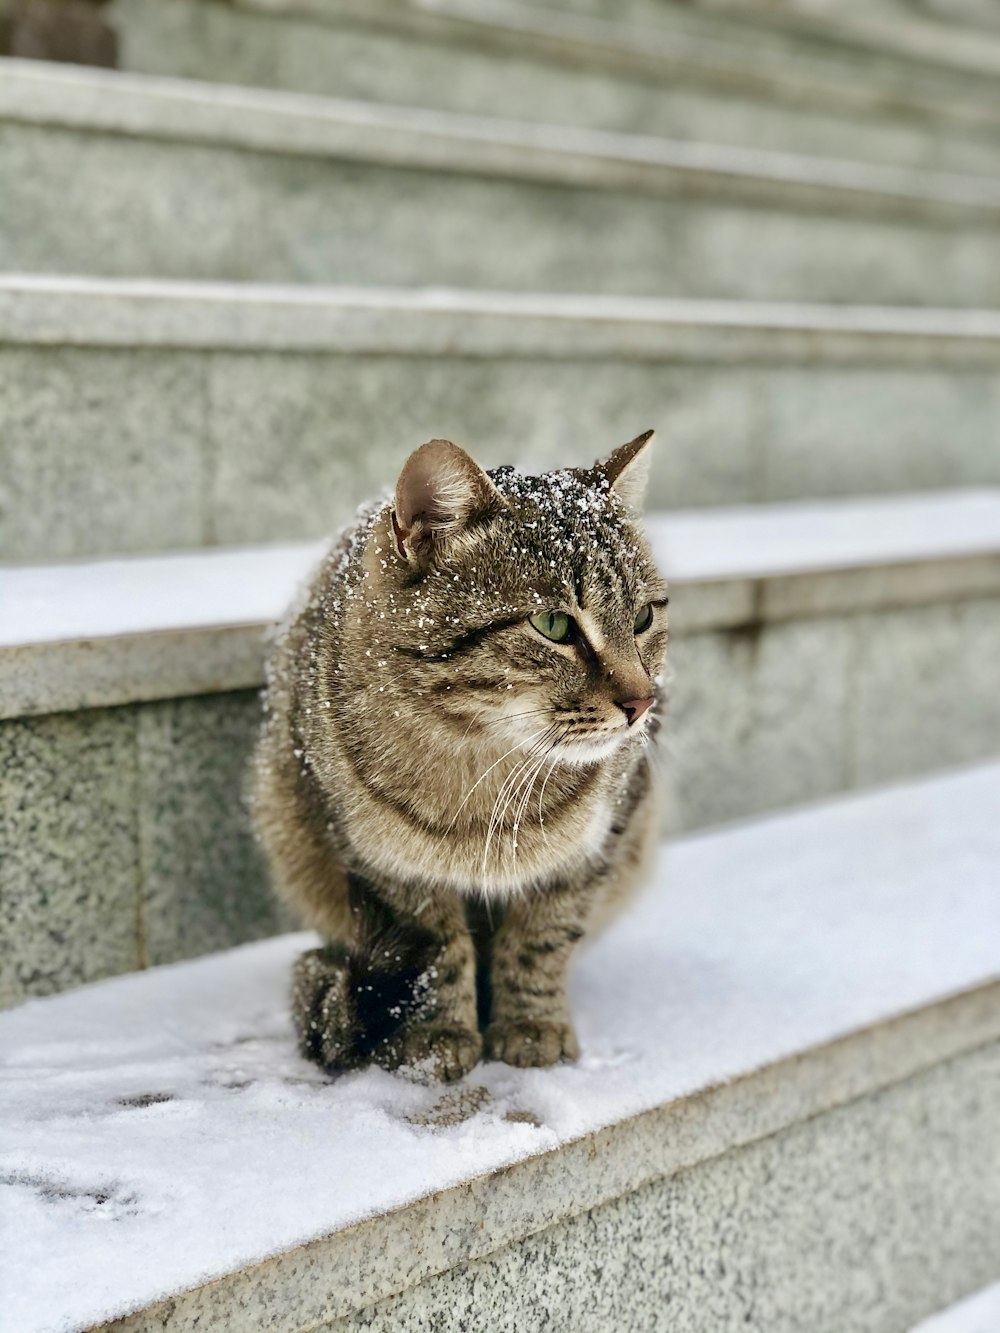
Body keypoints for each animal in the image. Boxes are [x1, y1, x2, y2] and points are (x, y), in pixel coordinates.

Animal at [254, 434, 669, 1082]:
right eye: (554, 624)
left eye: (644, 618)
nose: (643, 701)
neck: (480, 763)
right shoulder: (384, 863)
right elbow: (439, 951)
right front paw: (437, 1037)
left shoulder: (600, 841)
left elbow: (540, 939)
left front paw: (531, 1024)